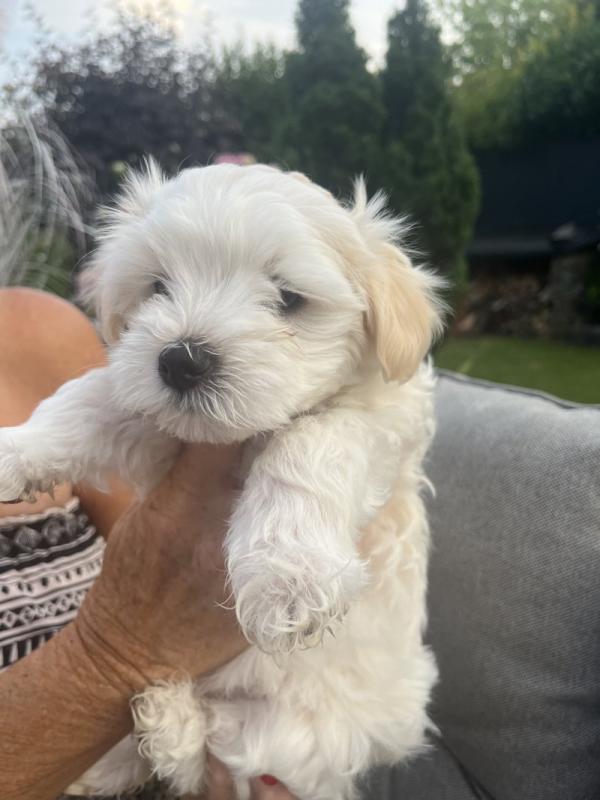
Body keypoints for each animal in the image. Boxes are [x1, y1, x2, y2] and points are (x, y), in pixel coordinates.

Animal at [0, 164, 440, 800]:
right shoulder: (154, 424)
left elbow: (309, 440)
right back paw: (142, 737)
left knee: (223, 756)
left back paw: (169, 723)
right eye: (158, 285)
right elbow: (89, 398)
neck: (232, 440)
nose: (180, 360)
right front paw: (16, 450)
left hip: (298, 733)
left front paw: (288, 574)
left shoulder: (385, 417)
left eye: (288, 298)